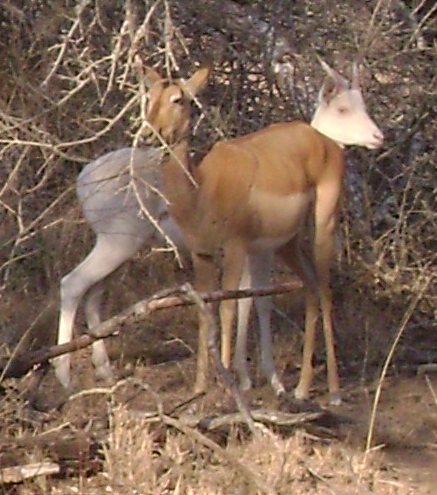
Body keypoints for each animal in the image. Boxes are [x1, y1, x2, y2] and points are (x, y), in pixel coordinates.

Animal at [165, 59, 384, 406]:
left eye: (363, 104)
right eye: (343, 108)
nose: (379, 136)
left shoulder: (256, 248)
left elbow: (254, 300)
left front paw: (261, 379)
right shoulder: (257, 248)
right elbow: (252, 299)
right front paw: (250, 379)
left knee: (320, 288)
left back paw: (320, 389)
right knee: (316, 287)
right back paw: (313, 388)